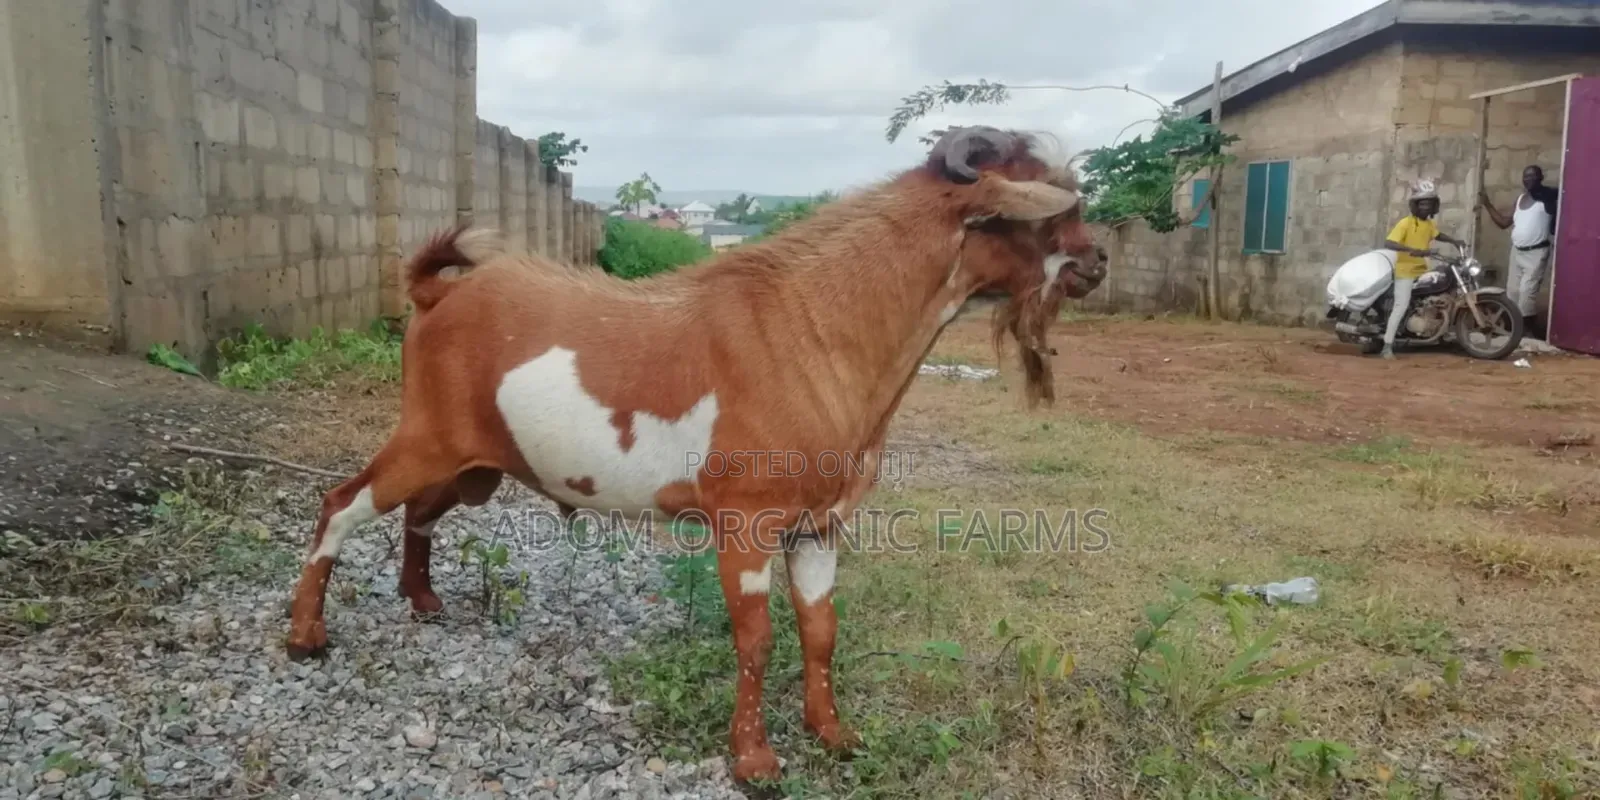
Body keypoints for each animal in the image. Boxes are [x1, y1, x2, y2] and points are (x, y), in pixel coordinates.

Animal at [283, 125, 1108, 784]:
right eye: (1053, 208)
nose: (1097, 261)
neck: (818, 327)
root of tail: (435, 296)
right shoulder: (745, 521)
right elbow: (757, 639)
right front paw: (755, 760)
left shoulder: (820, 525)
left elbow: (822, 630)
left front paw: (833, 733)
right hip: (426, 436)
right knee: (341, 504)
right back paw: (305, 637)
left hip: (475, 465)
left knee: (419, 509)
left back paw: (421, 599)